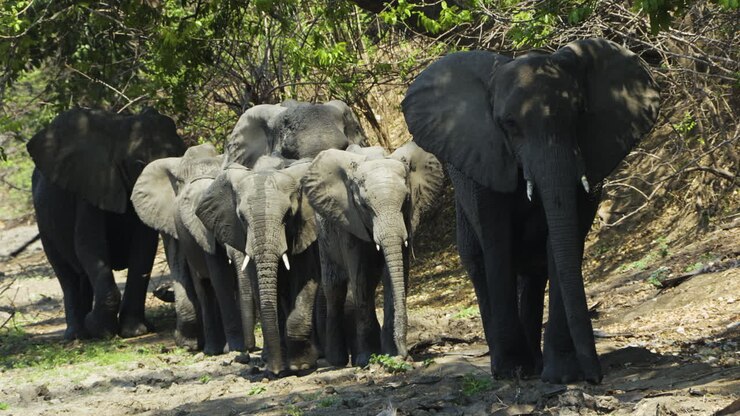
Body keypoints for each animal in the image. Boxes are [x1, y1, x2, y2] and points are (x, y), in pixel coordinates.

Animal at [27, 107, 186, 339]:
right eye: (138, 165)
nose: (162, 291)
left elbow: (143, 248)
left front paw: (134, 332)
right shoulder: (90, 186)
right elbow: (89, 245)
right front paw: (99, 329)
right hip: (43, 221)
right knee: (66, 274)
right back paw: (77, 334)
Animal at [196, 156, 321, 375]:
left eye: (288, 215)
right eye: (241, 218)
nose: (276, 370)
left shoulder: (305, 230)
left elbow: (305, 278)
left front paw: (301, 366)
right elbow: (263, 291)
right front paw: (278, 367)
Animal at [302, 142, 444, 367]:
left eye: (406, 200)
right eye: (364, 206)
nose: (406, 354)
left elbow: (394, 276)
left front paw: (391, 354)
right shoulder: (350, 221)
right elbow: (362, 280)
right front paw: (366, 359)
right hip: (324, 236)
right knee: (335, 288)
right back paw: (337, 361)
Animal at [402, 38, 660, 383]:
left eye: (579, 114)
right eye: (509, 124)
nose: (596, 377)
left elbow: (565, 240)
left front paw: (563, 374)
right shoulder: (485, 159)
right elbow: (498, 244)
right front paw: (514, 370)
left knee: (534, 270)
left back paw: (537, 364)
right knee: (479, 261)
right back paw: (507, 366)